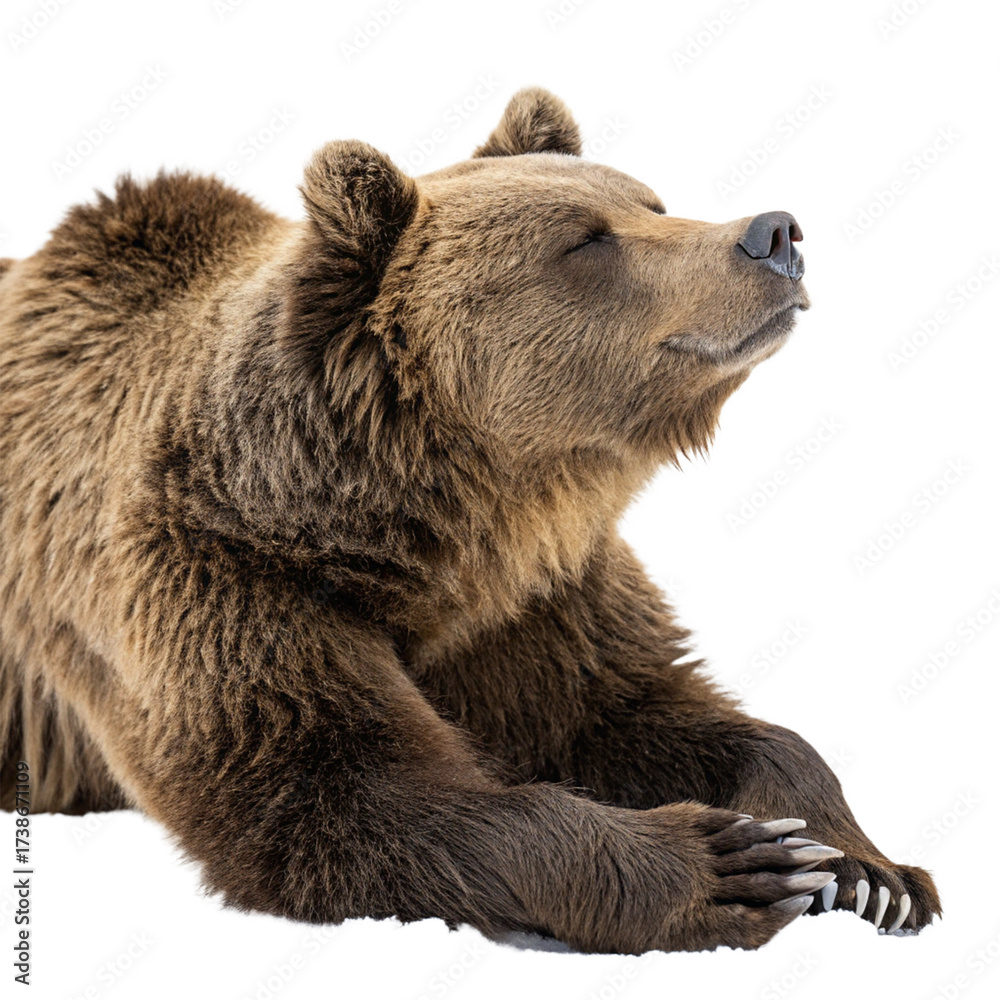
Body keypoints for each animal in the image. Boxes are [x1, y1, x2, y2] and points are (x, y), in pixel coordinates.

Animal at [0, 87, 940, 954]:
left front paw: (868, 871)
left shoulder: (539, 603)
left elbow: (637, 706)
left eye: (650, 202)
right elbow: (333, 785)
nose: (773, 232)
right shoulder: (226, 574)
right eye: (585, 239)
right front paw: (725, 866)